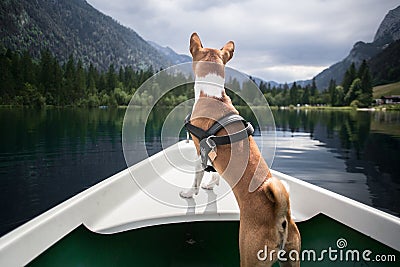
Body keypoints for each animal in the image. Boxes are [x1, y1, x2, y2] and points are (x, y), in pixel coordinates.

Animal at [180, 32, 298, 266]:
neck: (212, 95)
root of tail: (280, 217)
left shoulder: (200, 151)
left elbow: (196, 178)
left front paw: (190, 193)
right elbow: (214, 174)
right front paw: (211, 185)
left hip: (250, 255)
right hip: (292, 256)